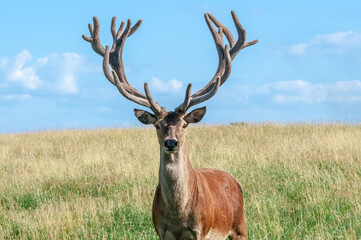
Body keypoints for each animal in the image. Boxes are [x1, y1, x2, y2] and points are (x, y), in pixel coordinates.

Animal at [82, 10, 256, 239]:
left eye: (184, 125)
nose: (171, 142)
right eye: (157, 125)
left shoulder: (201, 231)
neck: (178, 217)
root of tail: (233, 179)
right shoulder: (161, 230)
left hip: (239, 225)